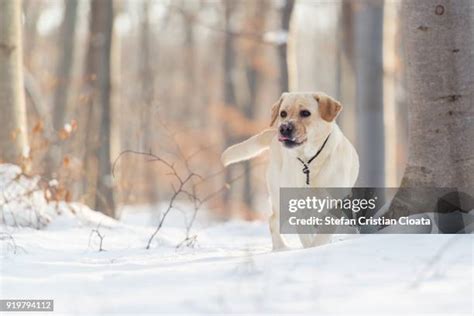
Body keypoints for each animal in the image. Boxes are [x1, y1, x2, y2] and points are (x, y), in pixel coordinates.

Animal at [223, 92, 360, 251]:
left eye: (305, 113)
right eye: (283, 113)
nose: (283, 128)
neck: (309, 160)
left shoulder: (335, 201)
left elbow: (323, 232)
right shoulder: (297, 205)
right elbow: (307, 234)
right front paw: (311, 248)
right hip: (280, 196)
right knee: (273, 220)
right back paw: (281, 248)